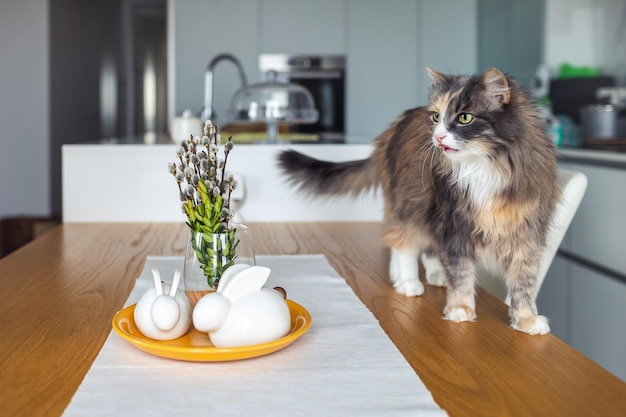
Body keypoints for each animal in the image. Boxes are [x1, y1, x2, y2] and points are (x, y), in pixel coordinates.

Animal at [276, 67, 560, 334]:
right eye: (436, 117)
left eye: (464, 117)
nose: (438, 136)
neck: (484, 168)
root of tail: (396, 125)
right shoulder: (453, 224)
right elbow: (460, 273)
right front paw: (460, 308)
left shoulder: (526, 234)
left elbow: (524, 283)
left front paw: (526, 320)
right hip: (409, 202)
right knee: (402, 243)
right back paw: (407, 282)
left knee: (423, 247)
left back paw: (433, 275)